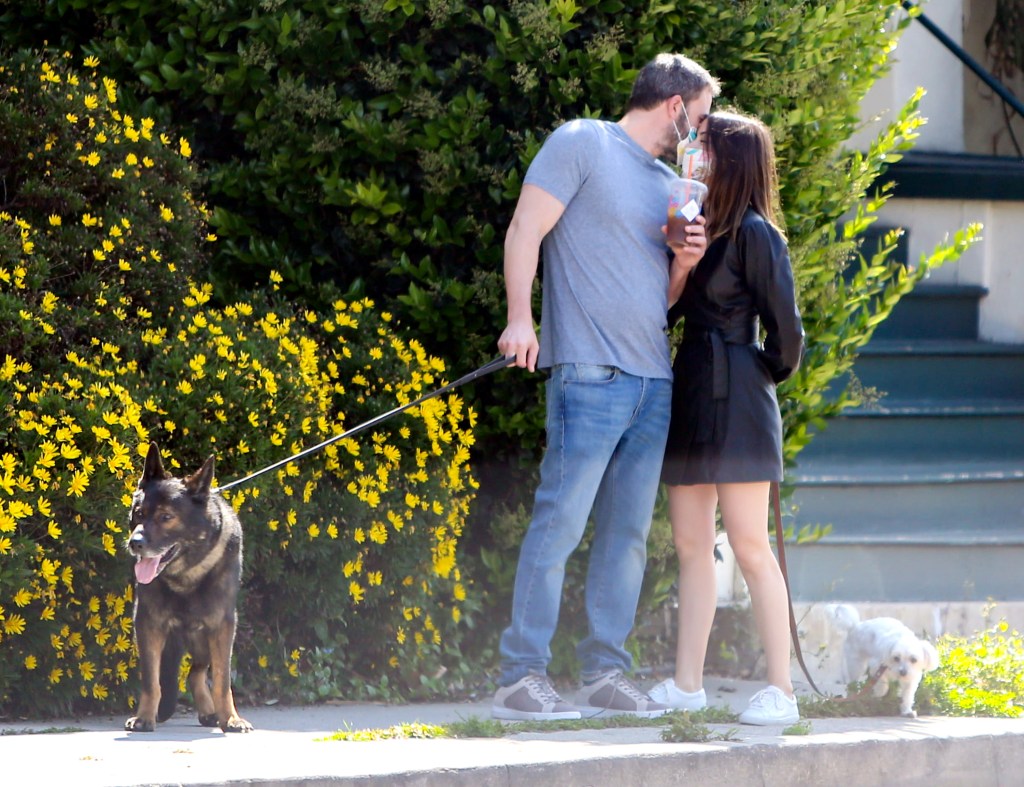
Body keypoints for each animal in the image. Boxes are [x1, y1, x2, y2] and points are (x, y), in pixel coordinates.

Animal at [125, 442, 251, 728]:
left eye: (166, 516)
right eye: (139, 513)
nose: (134, 543)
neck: (184, 577)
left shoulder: (222, 626)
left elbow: (223, 681)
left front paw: (231, 719)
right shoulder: (148, 624)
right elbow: (151, 681)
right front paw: (144, 716)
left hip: (203, 638)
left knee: (197, 672)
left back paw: (211, 711)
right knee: (192, 673)